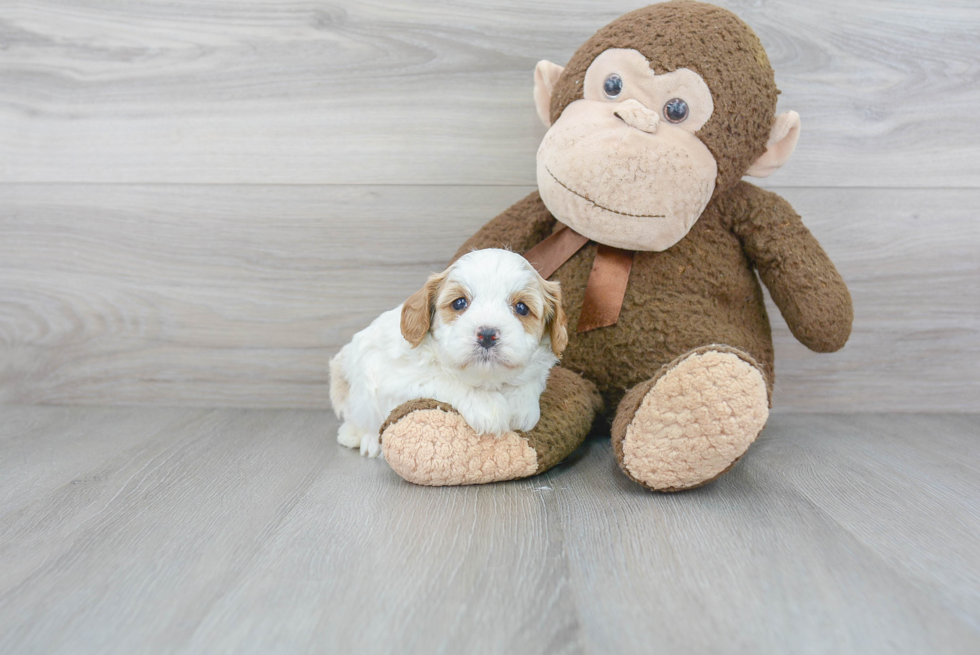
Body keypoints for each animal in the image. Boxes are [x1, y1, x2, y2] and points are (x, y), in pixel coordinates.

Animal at [330, 249, 568, 458]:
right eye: (459, 303)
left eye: (522, 308)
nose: (487, 335)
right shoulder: (396, 380)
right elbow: (444, 379)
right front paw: (487, 406)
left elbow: (531, 380)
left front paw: (521, 407)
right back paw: (363, 439)